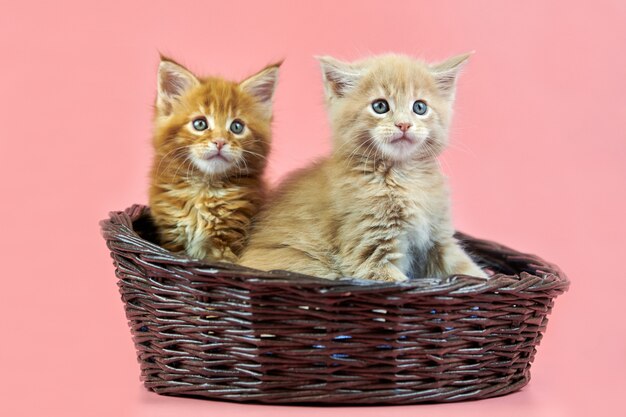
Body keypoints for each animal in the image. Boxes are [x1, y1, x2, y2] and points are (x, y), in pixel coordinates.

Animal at [148, 57, 278, 262]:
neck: (204, 188)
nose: (220, 141)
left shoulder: (229, 243)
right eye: (200, 124)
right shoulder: (172, 240)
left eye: (237, 127)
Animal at [236, 52, 486, 280]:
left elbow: (467, 269)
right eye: (380, 106)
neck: (403, 176)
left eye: (420, 107)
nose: (404, 124)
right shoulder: (369, 251)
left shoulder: (439, 238)